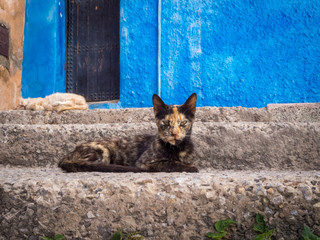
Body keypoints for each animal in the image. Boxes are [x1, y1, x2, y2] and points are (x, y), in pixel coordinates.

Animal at [58, 93, 198, 172]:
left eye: (183, 123)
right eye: (166, 123)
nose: (174, 133)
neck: (178, 149)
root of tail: (68, 154)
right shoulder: (144, 162)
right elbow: (170, 162)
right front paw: (190, 167)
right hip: (103, 152)